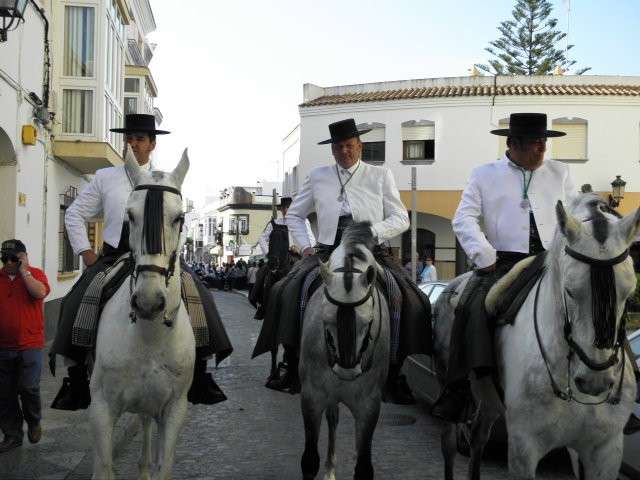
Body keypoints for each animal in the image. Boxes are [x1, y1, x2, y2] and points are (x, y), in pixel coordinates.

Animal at [89, 148, 195, 480]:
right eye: (130, 215)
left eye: (179, 217)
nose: (148, 302)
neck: (149, 335)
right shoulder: (101, 408)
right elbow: (103, 465)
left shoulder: (174, 410)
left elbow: (165, 465)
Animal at [299, 222, 389, 480]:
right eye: (326, 318)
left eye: (368, 321)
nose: (347, 371)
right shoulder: (311, 397)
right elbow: (309, 460)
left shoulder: (369, 405)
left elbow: (364, 466)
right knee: (333, 419)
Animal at [433, 193, 640, 480]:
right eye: (570, 290)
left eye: (628, 294)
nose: (594, 382)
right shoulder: (524, 448)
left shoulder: (604, 451)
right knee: (450, 446)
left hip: (489, 402)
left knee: (478, 438)